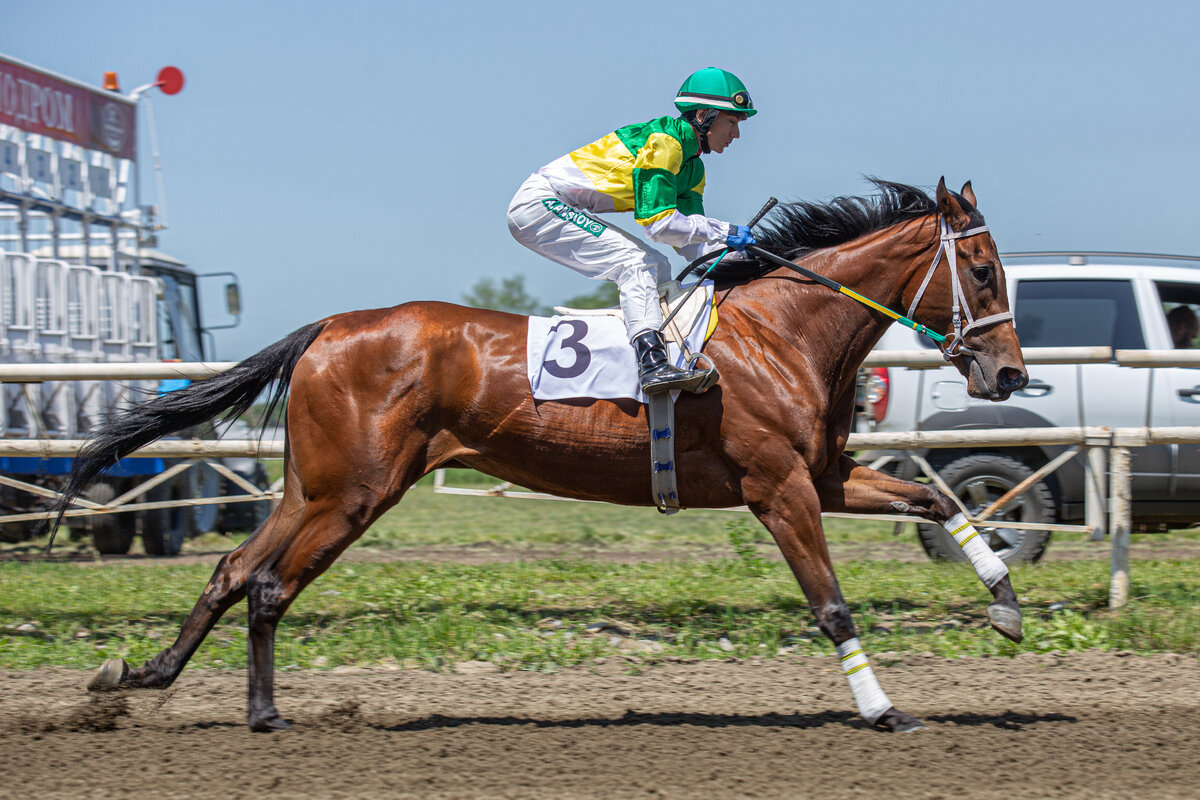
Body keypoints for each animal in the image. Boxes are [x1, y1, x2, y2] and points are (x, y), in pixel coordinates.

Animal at [56, 178, 1027, 734]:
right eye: (983, 272)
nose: (1011, 371)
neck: (782, 333)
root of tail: (328, 327)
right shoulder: (779, 488)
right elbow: (831, 606)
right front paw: (884, 709)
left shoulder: (821, 476)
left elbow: (940, 503)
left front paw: (1007, 603)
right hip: (354, 492)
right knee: (267, 584)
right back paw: (254, 711)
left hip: (315, 487)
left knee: (235, 570)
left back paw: (156, 676)